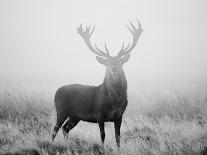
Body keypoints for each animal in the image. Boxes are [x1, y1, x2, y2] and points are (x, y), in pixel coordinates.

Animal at [51, 18, 142, 147]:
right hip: (61, 110)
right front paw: (103, 148)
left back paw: (67, 145)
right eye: (107, 63)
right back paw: (51, 143)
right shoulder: (99, 114)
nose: (113, 68)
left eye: (120, 62)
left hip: (75, 116)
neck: (115, 102)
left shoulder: (119, 115)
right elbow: (102, 135)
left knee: (65, 128)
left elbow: (118, 137)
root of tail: (56, 91)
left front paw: (118, 149)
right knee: (55, 129)